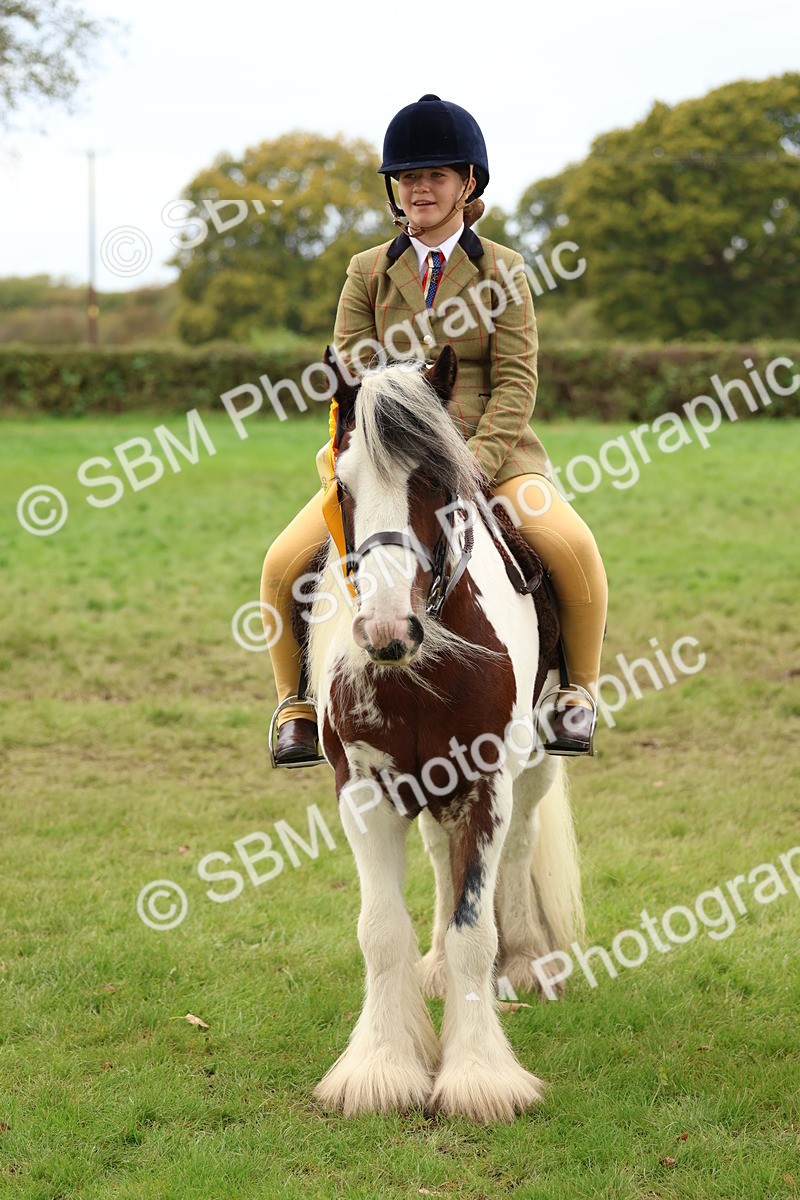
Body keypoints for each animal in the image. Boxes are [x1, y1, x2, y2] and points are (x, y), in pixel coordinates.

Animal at [305, 344, 584, 1123]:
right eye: (342, 485)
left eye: (433, 479)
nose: (384, 631)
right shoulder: (364, 788)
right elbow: (380, 929)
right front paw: (381, 1067)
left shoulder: (485, 782)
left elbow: (473, 929)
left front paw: (478, 1076)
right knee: (437, 853)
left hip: (534, 765)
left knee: (519, 846)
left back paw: (525, 960)